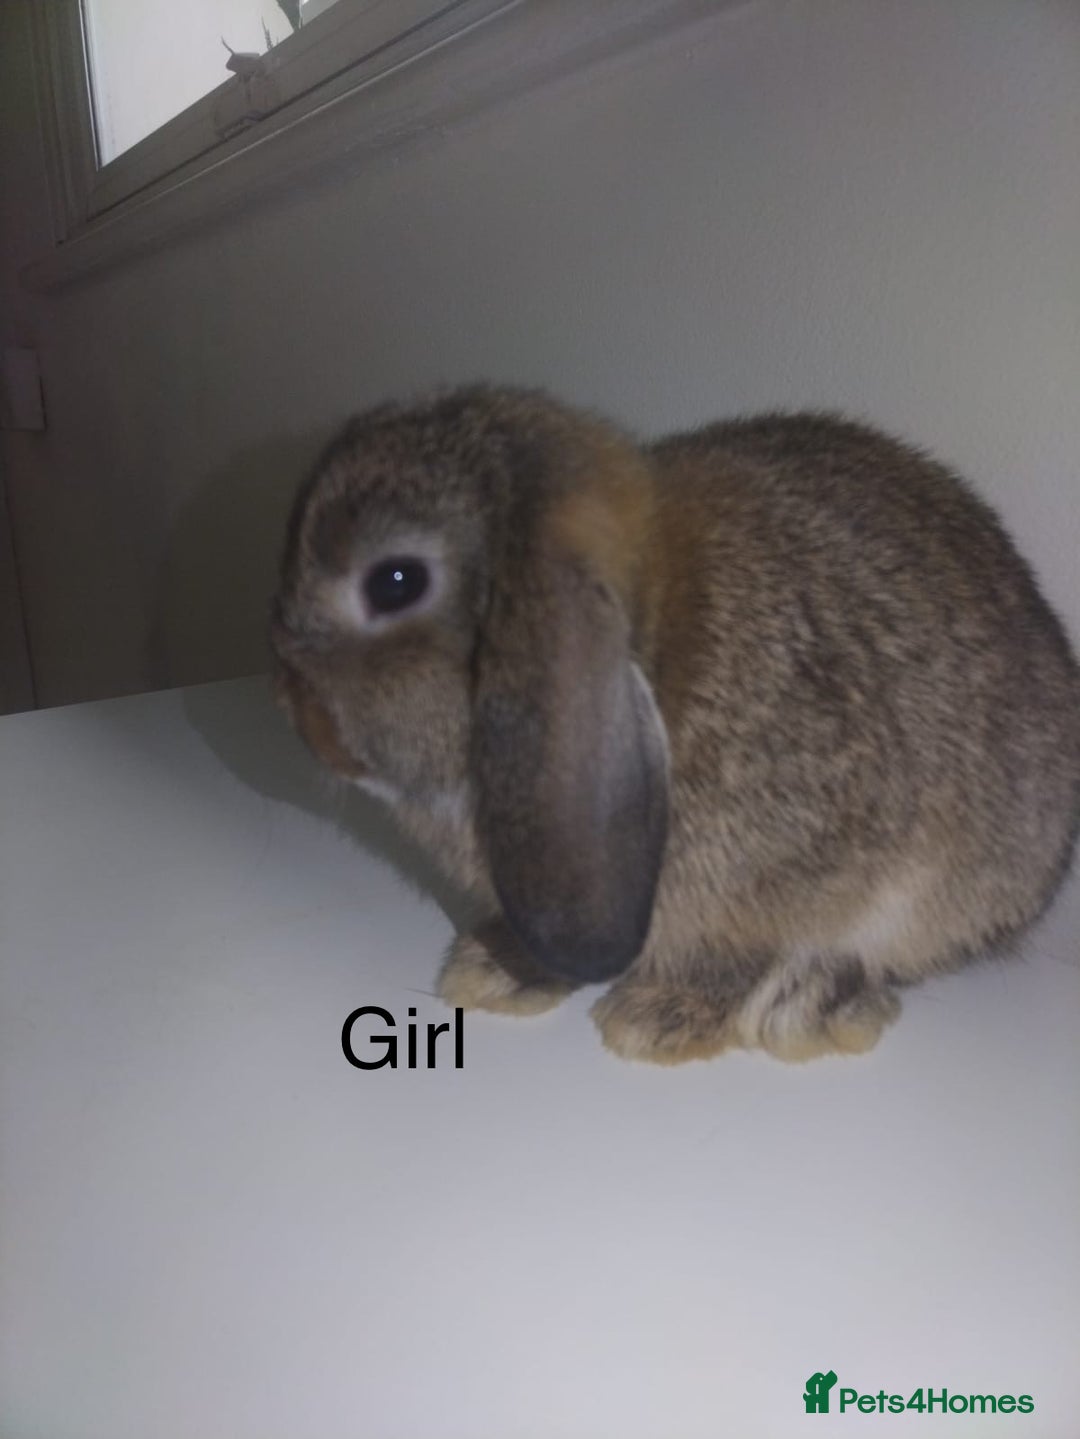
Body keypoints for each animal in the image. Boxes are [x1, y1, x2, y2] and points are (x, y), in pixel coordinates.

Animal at [270, 384, 1080, 1064]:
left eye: (394, 582)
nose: (307, 727)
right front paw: (498, 971)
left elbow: (737, 951)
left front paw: (659, 1019)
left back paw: (809, 1007)